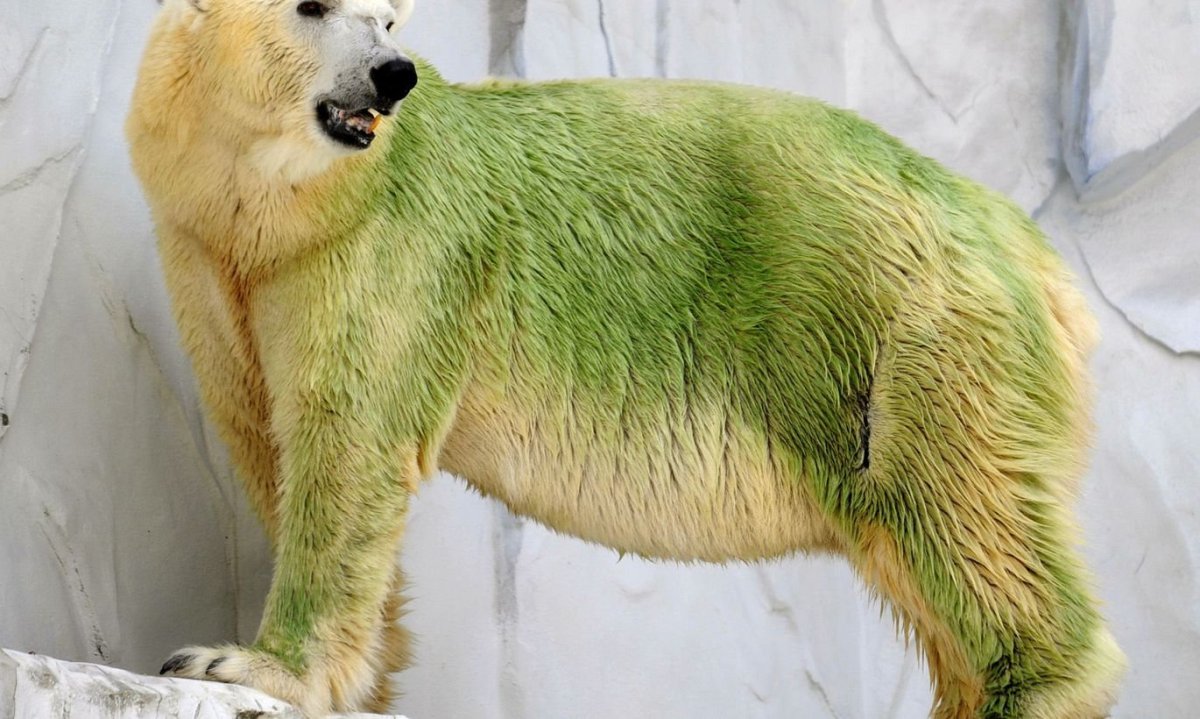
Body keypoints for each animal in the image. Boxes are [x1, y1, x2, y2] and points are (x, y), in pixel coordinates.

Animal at [126, 0, 1126, 716]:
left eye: (389, 19)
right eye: (314, 3)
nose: (390, 74)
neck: (272, 208)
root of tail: (1039, 257)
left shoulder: (389, 239)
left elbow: (347, 439)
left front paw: (236, 661)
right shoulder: (214, 257)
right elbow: (262, 433)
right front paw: (371, 675)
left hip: (906, 327)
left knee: (965, 514)